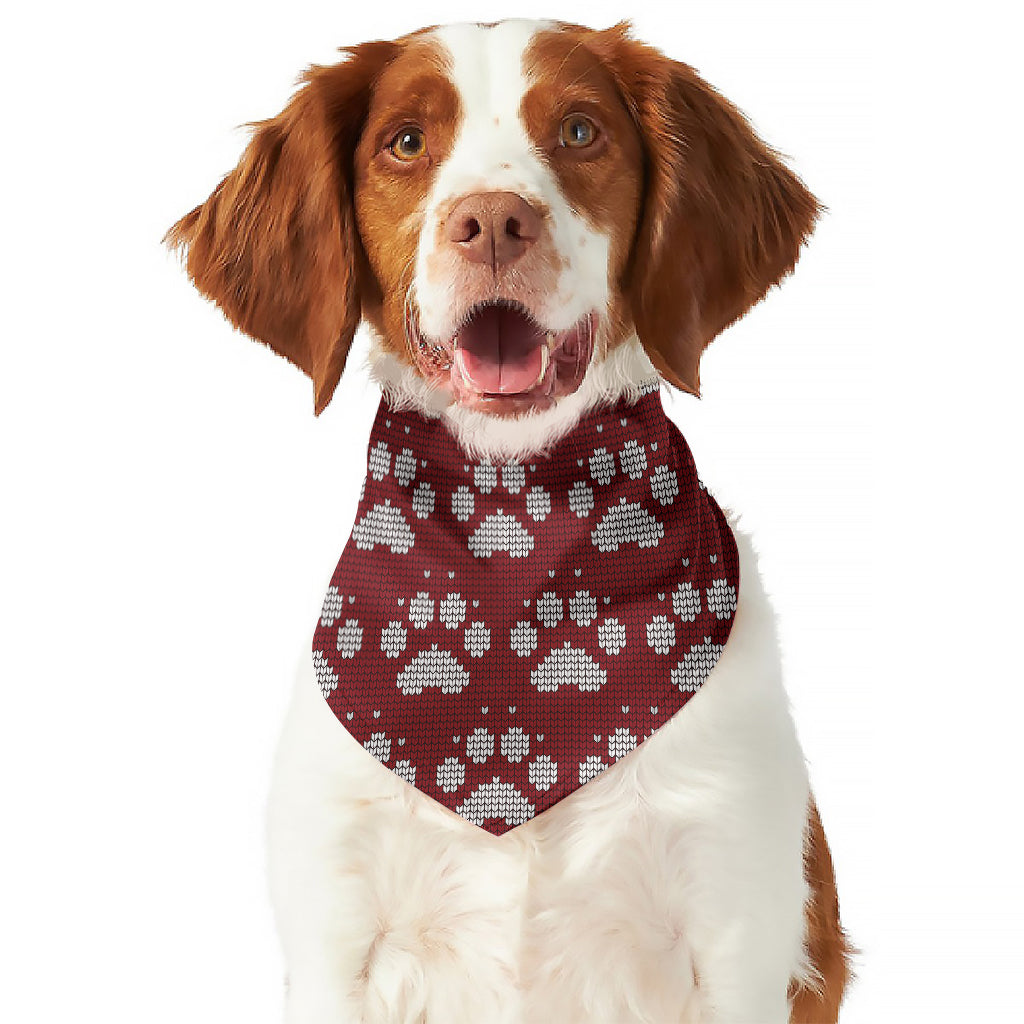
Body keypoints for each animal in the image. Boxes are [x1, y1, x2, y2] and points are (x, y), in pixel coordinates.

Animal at [167, 16, 851, 1024]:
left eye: (579, 131)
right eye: (406, 142)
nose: (492, 221)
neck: (512, 533)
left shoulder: (737, 921)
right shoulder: (336, 928)